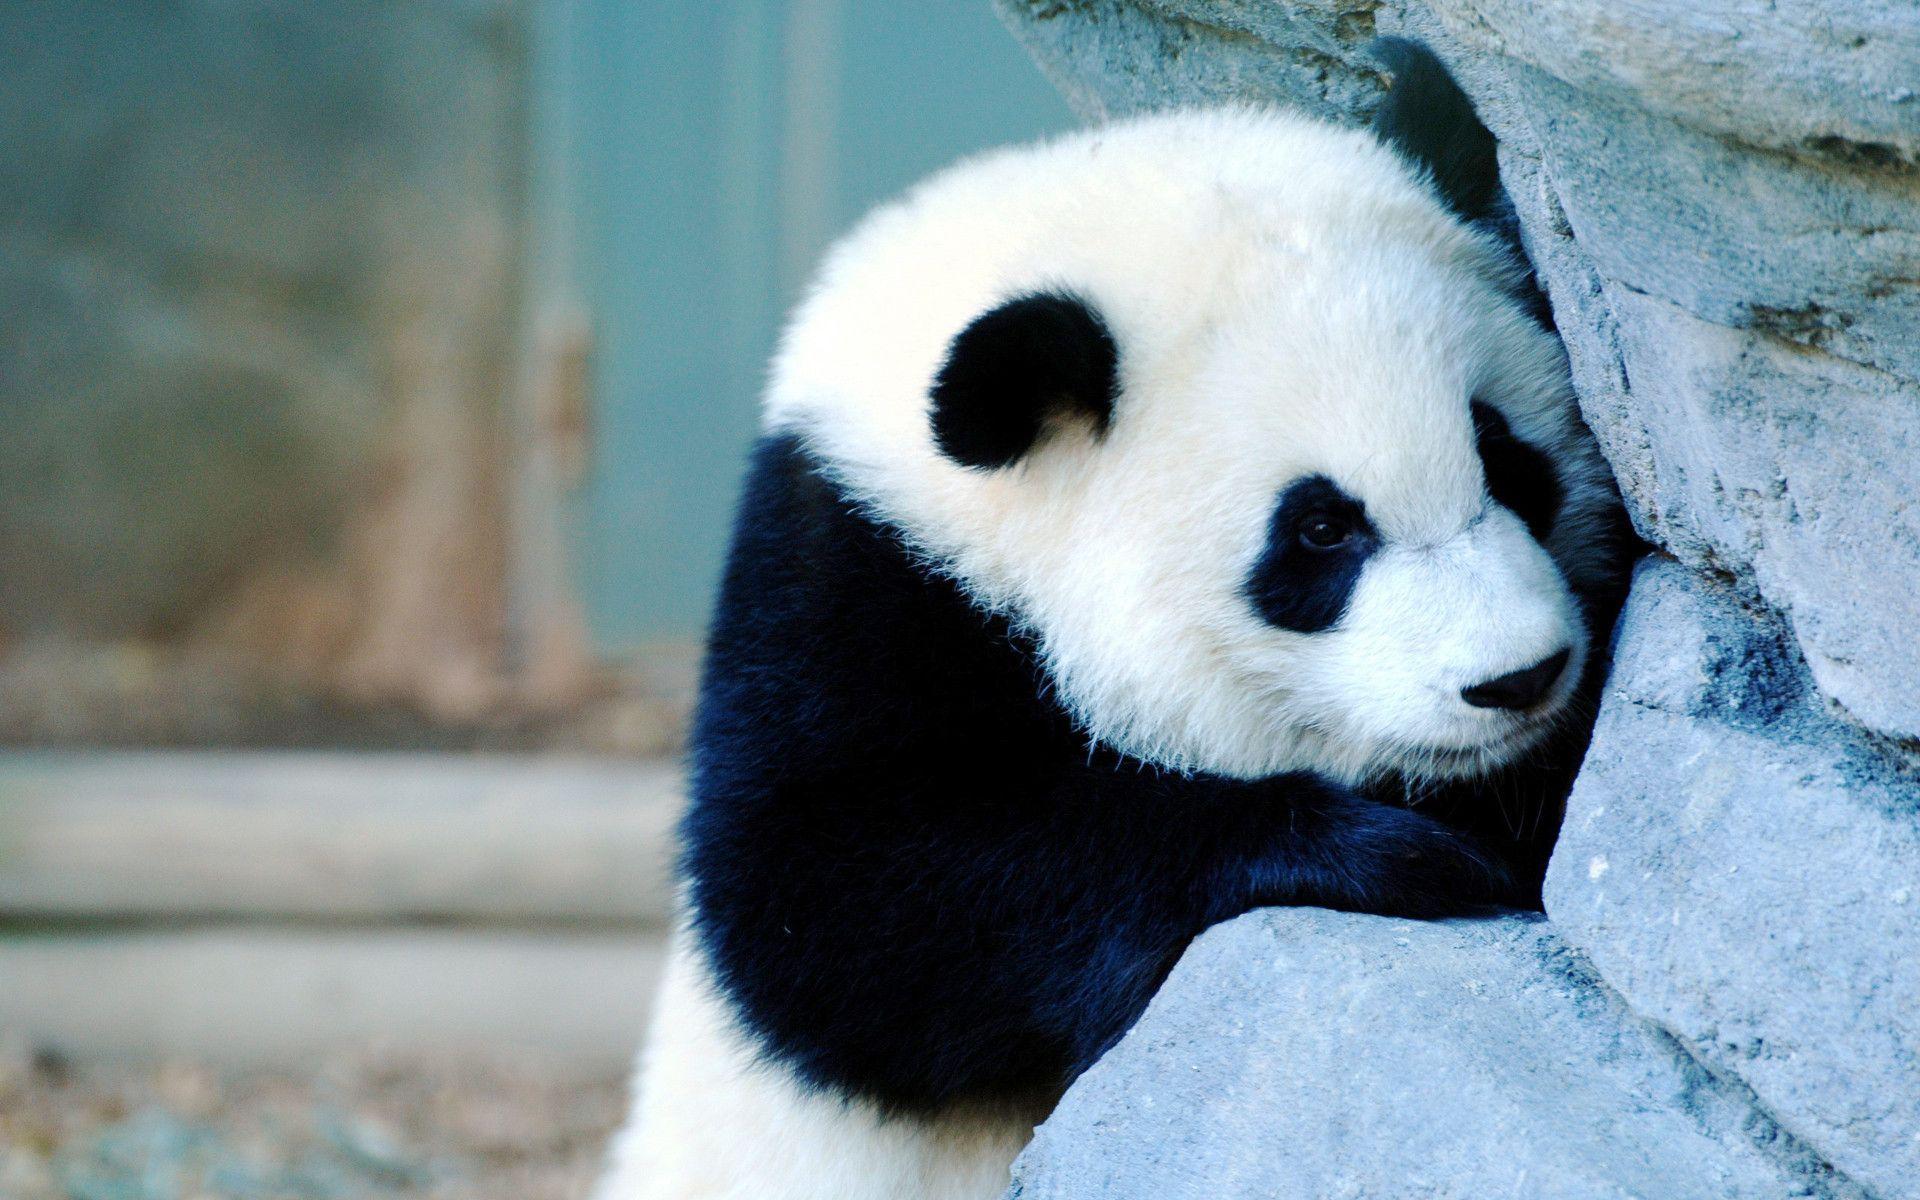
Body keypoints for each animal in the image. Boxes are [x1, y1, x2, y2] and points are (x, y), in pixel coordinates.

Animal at [597, 39, 1627, 1200]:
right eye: (1320, 532)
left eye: (1504, 457)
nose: (1520, 678)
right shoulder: (845, 584)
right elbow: (830, 909)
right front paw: (1395, 854)